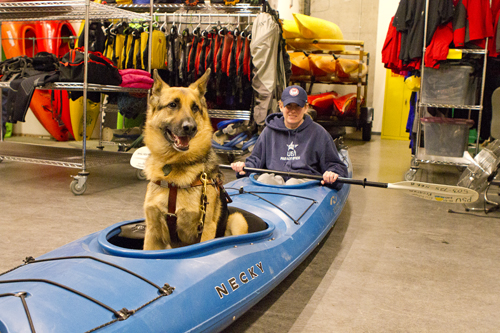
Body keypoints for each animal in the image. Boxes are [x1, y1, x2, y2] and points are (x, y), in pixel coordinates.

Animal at [143, 68, 248, 249]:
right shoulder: (152, 233)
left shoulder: (206, 228)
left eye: (195, 108)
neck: (173, 165)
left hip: (238, 219)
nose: (190, 127)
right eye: (173, 105)